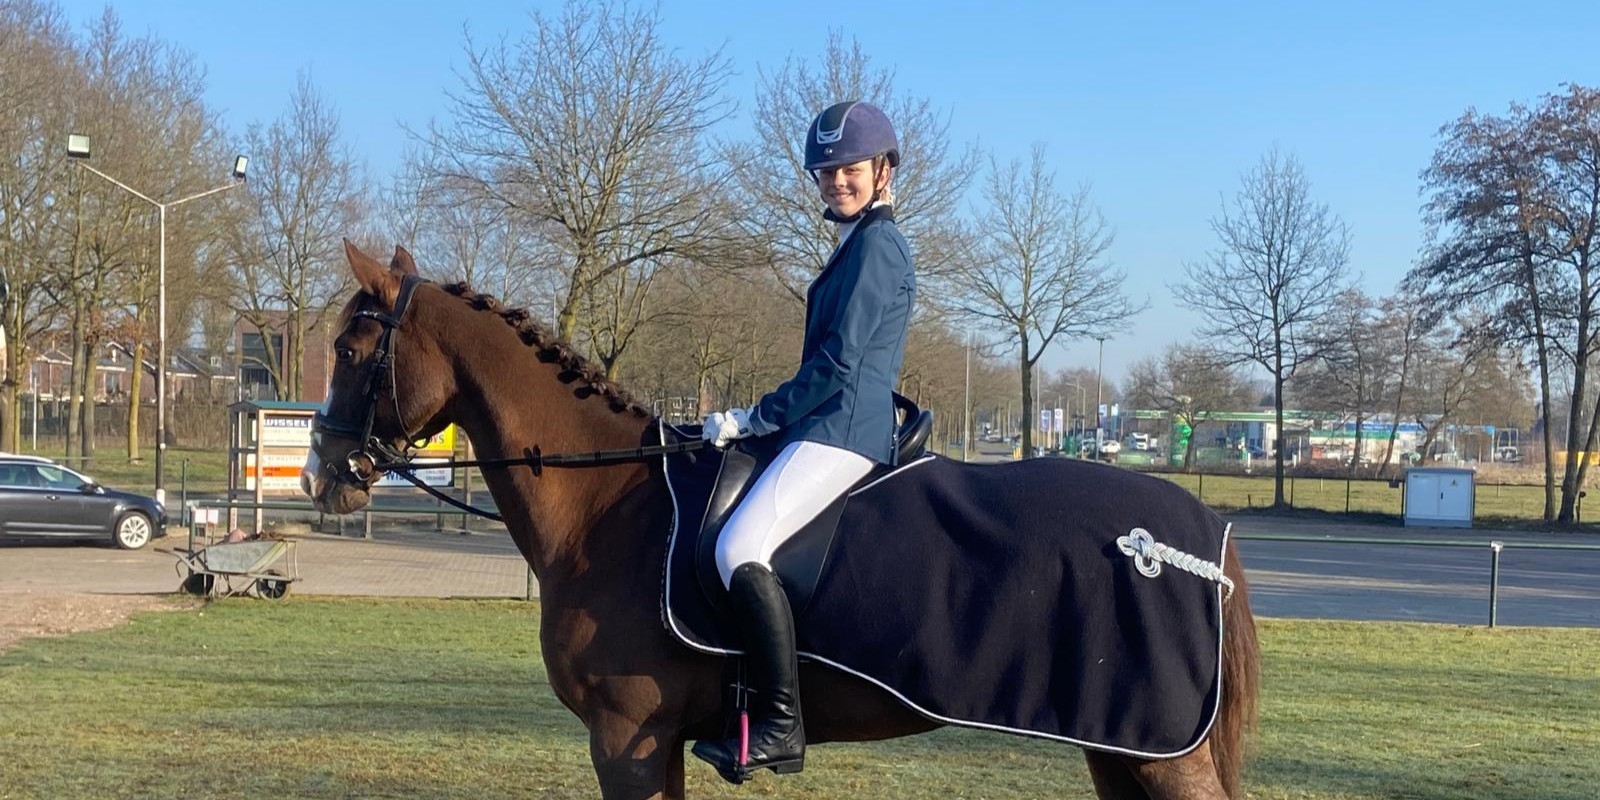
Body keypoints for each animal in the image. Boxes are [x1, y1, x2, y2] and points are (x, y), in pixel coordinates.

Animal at [302, 241, 1260, 800]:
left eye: (350, 349)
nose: (319, 474)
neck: (612, 503)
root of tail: (1194, 534)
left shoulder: (628, 739)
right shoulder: (651, 744)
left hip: (1159, 752)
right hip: (1122, 750)